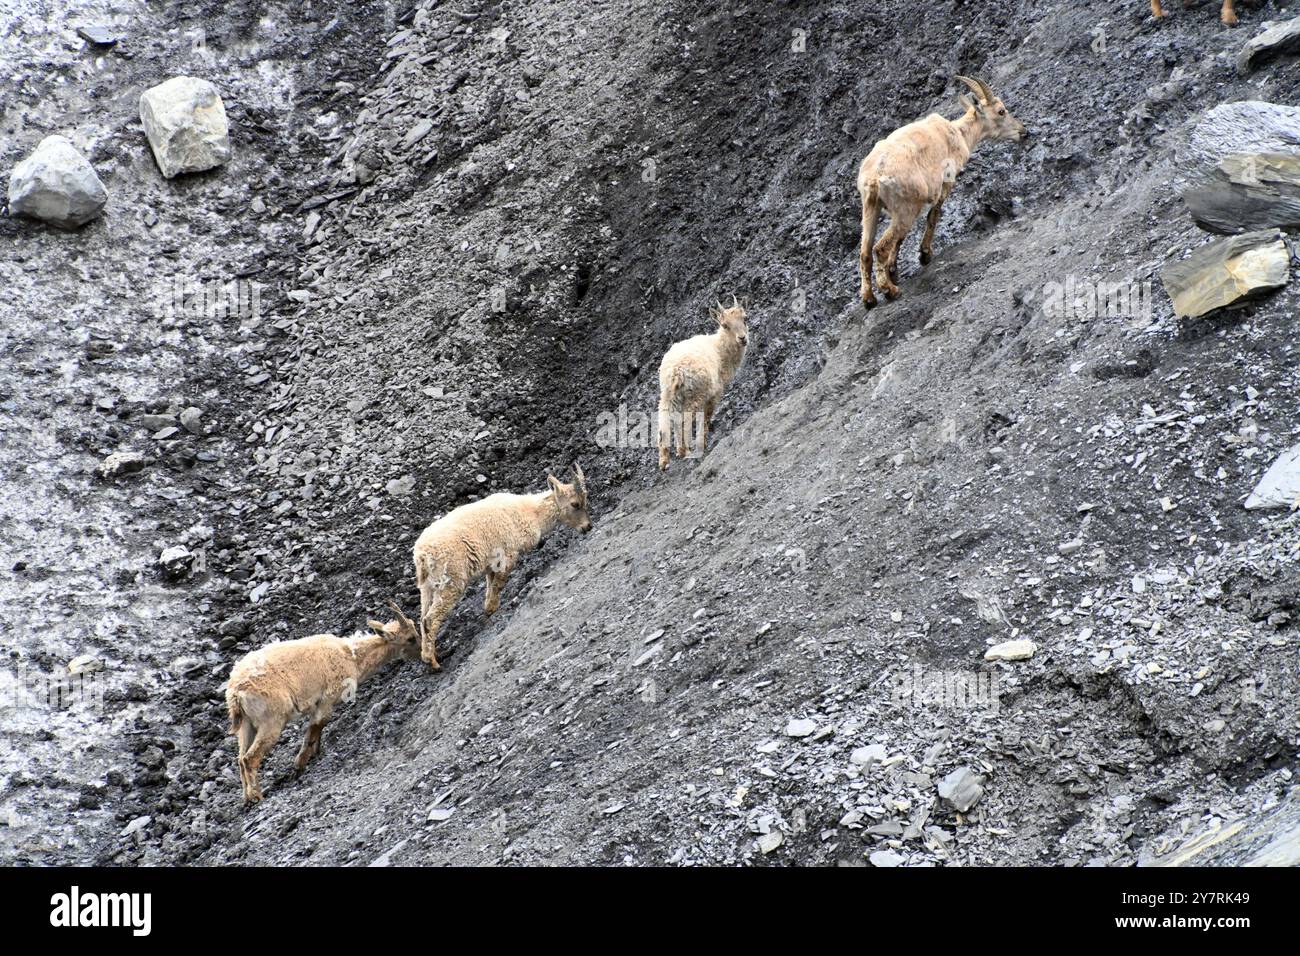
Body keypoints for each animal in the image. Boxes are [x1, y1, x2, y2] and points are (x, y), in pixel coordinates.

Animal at [225, 602, 419, 803]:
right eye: (411, 638)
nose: (422, 652)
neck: (351, 656)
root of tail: (236, 692)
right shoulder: (327, 698)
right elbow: (317, 726)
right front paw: (299, 765)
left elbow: (316, 729)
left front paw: (314, 753)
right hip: (271, 721)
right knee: (250, 758)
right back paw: (257, 796)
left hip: (246, 725)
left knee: (240, 758)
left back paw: (247, 797)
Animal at [412, 466, 591, 670]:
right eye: (575, 504)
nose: (588, 527)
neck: (530, 513)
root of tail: (422, 554)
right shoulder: (508, 555)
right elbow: (499, 583)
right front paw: (492, 609)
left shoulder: (491, 563)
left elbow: (491, 584)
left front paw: (488, 607)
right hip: (450, 581)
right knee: (430, 619)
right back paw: (432, 662)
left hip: (427, 587)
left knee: (422, 617)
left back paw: (429, 653)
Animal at [657, 299, 749, 470]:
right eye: (725, 325)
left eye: (745, 318)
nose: (742, 338)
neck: (721, 351)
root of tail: (676, 371)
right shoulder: (713, 394)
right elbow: (706, 418)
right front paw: (703, 444)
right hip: (694, 395)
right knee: (685, 421)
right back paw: (685, 450)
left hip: (667, 394)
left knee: (665, 421)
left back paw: (665, 460)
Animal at [857, 76, 1026, 308]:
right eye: (1001, 111)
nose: (1024, 132)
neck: (959, 133)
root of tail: (875, 176)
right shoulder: (945, 183)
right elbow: (934, 215)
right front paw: (924, 255)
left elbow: (902, 238)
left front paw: (894, 269)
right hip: (904, 208)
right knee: (879, 248)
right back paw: (890, 291)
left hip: (871, 207)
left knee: (865, 251)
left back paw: (869, 299)